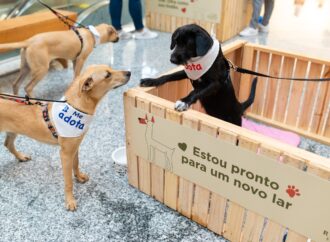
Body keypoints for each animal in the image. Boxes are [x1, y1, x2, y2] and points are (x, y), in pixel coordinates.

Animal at [0, 64, 131, 210]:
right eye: (107, 75)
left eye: (111, 68)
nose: (129, 73)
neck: (76, 107)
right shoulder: (65, 154)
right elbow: (68, 181)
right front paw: (70, 201)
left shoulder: (74, 147)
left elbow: (76, 164)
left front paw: (79, 177)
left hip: (13, 131)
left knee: (8, 144)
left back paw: (21, 157)